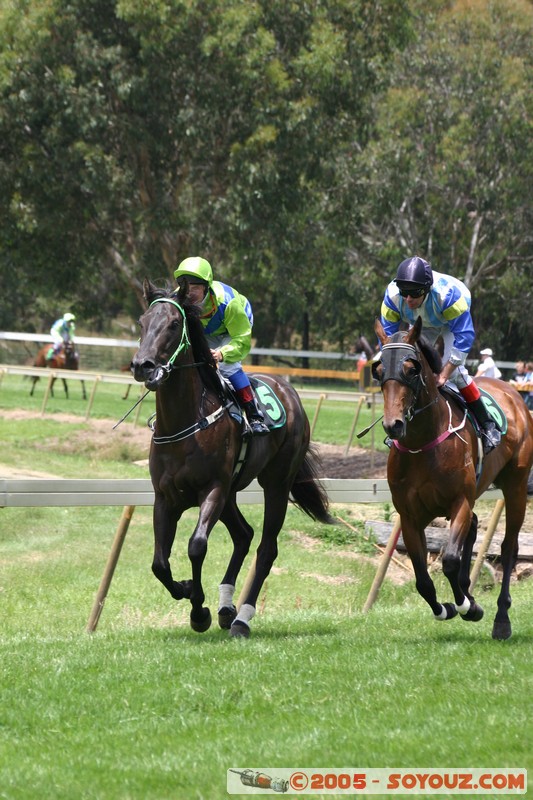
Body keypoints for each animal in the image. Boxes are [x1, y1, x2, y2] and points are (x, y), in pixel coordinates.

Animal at [132, 280, 332, 636]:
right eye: (142, 322)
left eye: (174, 324)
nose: (143, 366)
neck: (185, 423)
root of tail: (288, 390)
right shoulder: (165, 497)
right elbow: (159, 563)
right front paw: (188, 591)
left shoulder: (212, 489)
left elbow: (196, 546)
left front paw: (199, 610)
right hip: (231, 493)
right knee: (244, 534)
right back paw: (227, 608)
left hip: (275, 483)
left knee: (266, 548)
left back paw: (241, 619)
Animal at [372, 316, 532, 640]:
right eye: (379, 370)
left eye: (412, 369)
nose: (393, 425)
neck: (423, 444)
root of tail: (513, 392)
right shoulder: (410, 515)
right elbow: (422, 577)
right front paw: (447, 607)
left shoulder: (459, 502)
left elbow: (449, 560)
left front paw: (468, 607)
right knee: (474, 526)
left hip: (516, 485)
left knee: (508, 547)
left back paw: (501, 619)